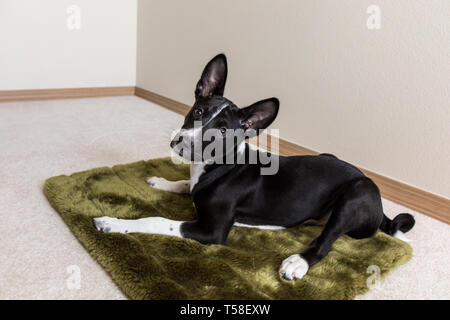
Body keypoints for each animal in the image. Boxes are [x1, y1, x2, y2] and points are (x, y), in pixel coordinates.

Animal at [94, 54, 414, 280]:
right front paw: (161, 181)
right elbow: (186, 184)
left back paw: (298, 263)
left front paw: (114, 223)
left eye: (224, 131)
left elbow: (157, 220)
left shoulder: (212, 231)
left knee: (326, 241)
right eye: (198, 111)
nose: (182, 143)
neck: (218, 165)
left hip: (355, 195)